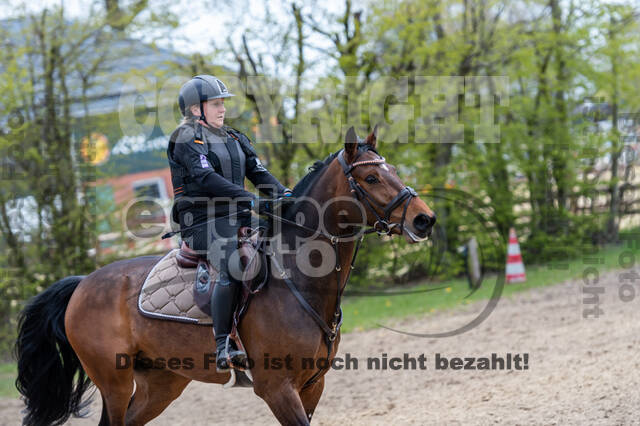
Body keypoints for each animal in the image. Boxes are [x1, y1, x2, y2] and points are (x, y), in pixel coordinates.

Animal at [16, 126, 436, 426]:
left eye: (393, 170)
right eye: (371, 179)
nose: (424, 219)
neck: (298, 278)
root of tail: (83, 284)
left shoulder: (313, 386)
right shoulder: (277, 389)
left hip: (162, 382)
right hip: (114, 382)